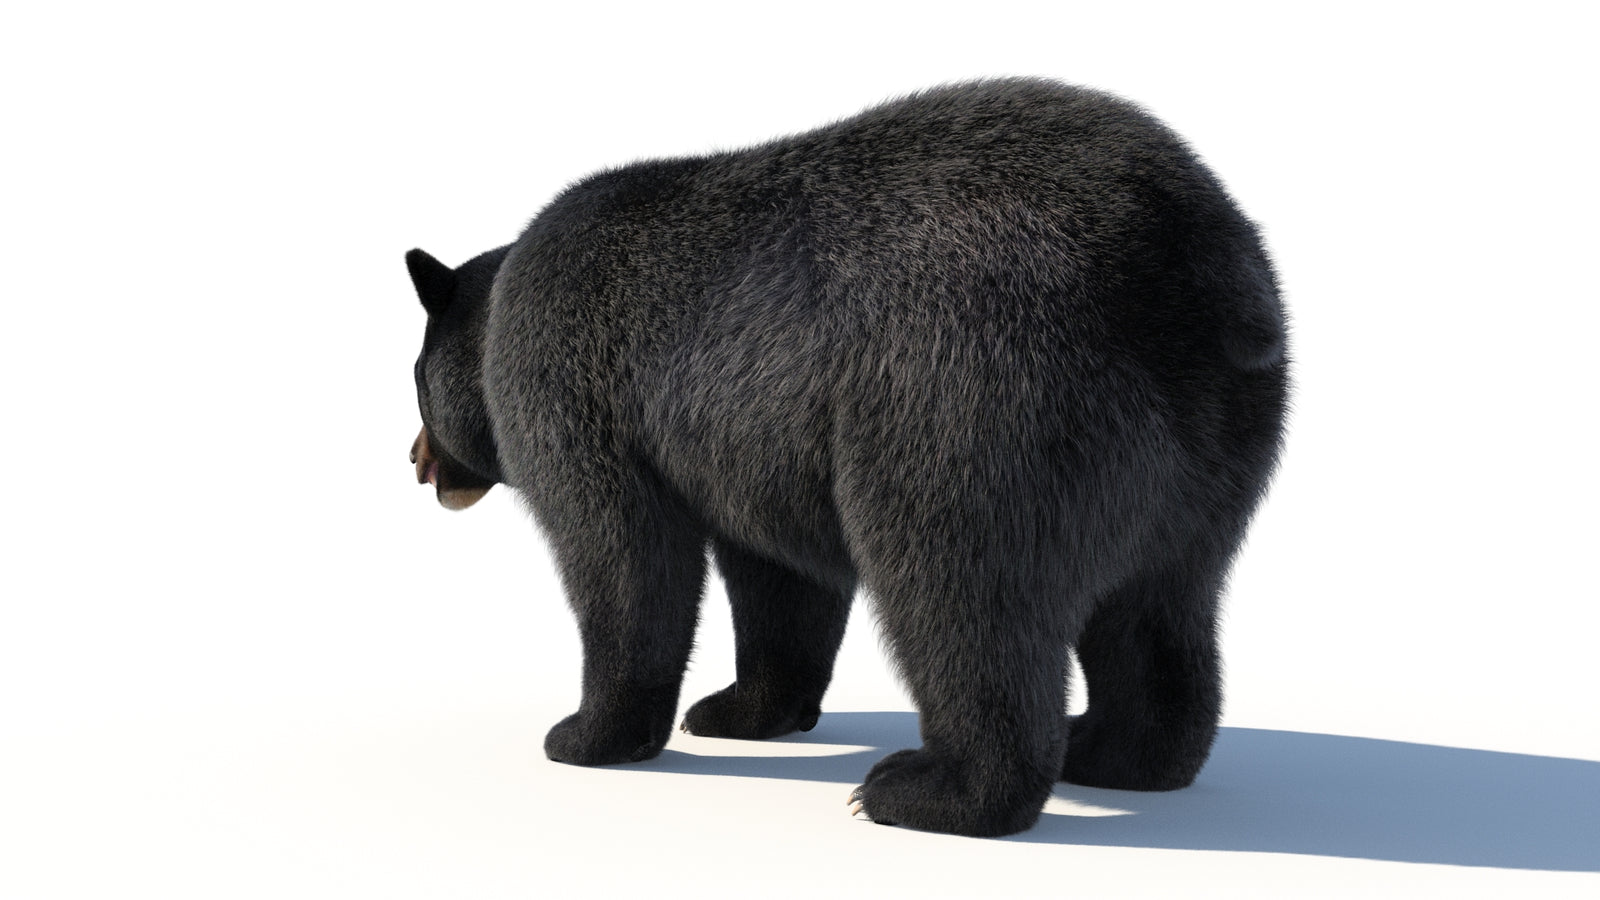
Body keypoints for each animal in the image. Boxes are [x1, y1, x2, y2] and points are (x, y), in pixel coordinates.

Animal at [404, 77, 1288, 837]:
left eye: (411, 379)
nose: (416, 461)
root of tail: (1187, 278)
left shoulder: (576, 382)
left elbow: (622, 555)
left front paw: (585, 733)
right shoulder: (753, 440)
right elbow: (780, 581)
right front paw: (739, 709)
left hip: (975, 402)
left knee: (961, 592)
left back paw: (931, 790)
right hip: (1209, 456)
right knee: (1161, 606)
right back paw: (1119, 755)